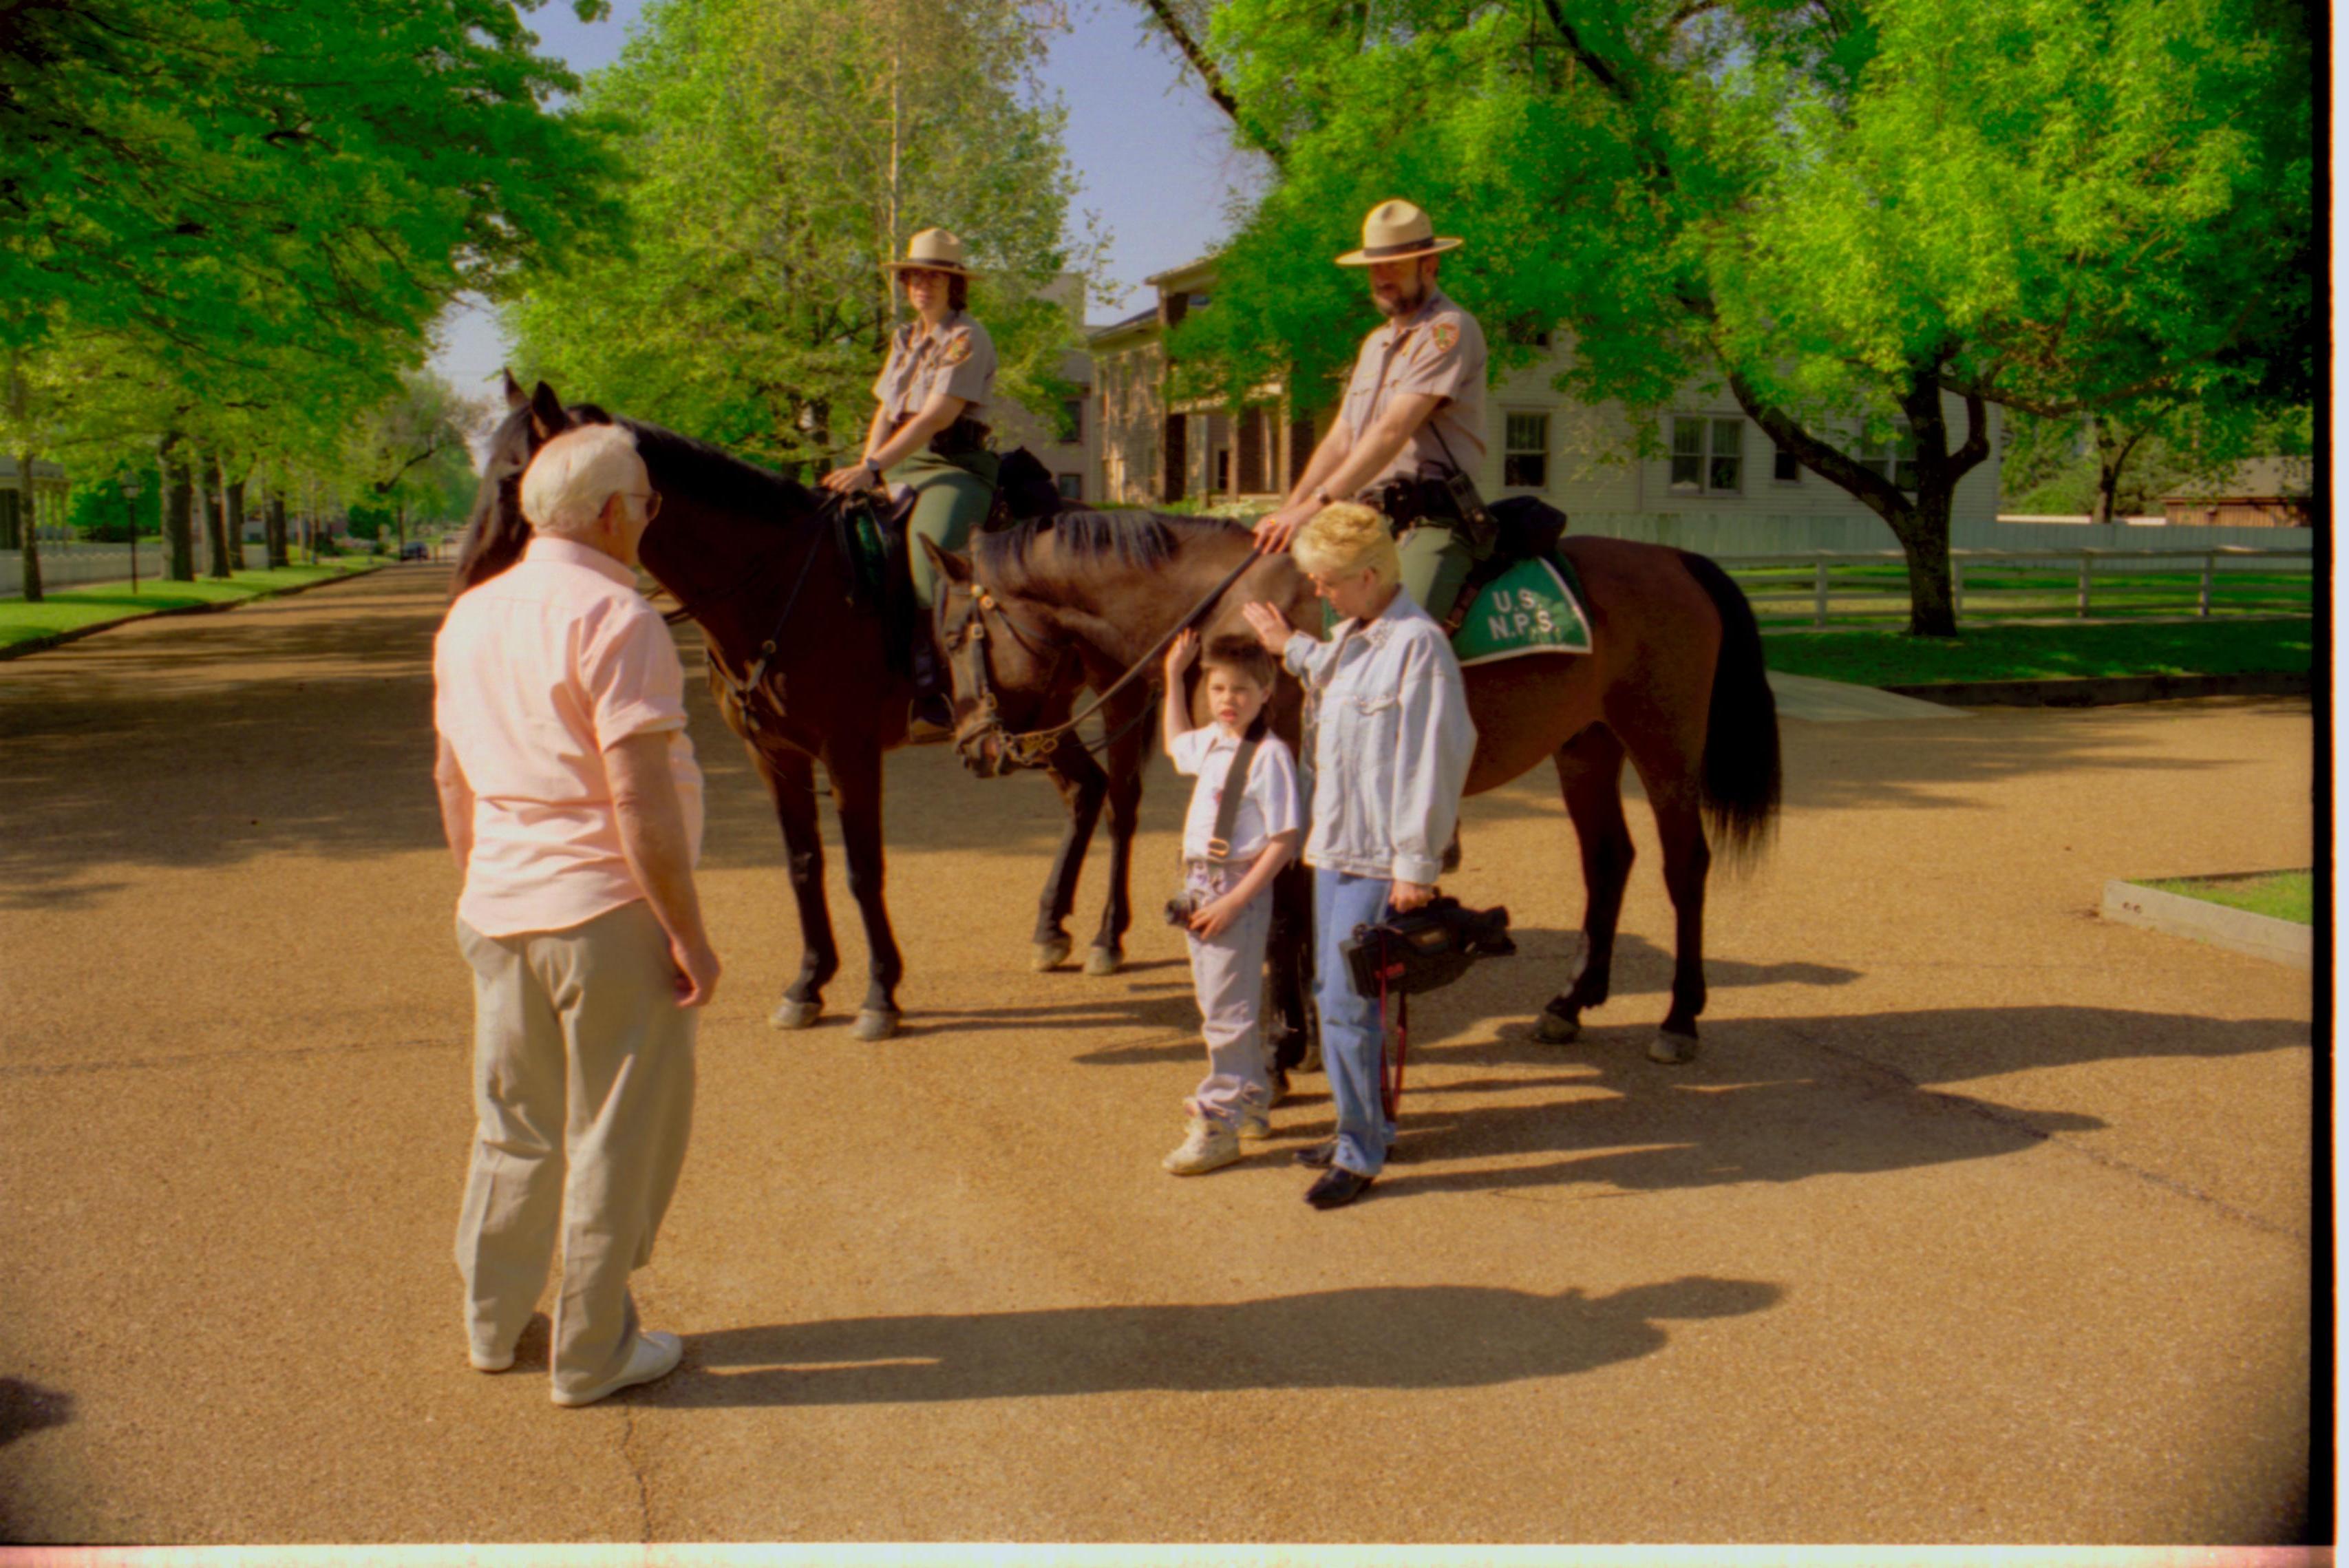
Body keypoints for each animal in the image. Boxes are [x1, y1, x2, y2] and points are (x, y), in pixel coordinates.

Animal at [444, 381, 1151, 1043]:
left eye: (513, 478)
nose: (465, 583)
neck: (782, 582)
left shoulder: (850, 752)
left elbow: (864, 870)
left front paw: (879, 995)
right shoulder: (773, 755)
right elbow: (803, 866)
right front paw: (809, 984)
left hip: (1115, 695)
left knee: (1121, 801)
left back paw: (1107, 938)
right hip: (1037, 715)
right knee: (1086, 792)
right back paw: (1051, 928)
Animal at [930, 517, 1776, 1067]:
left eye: (947, 637)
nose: (971, 748)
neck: (1227, 611)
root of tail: (1674, 558)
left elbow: (1282, 920)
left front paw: (1286, 1042)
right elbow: (1299, 915)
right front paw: (1304, 1032)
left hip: (1664, 748)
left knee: (1683, 868)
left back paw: (1679, 1018)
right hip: (1585, 747)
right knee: (1607, 859)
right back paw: (1570, 1003)